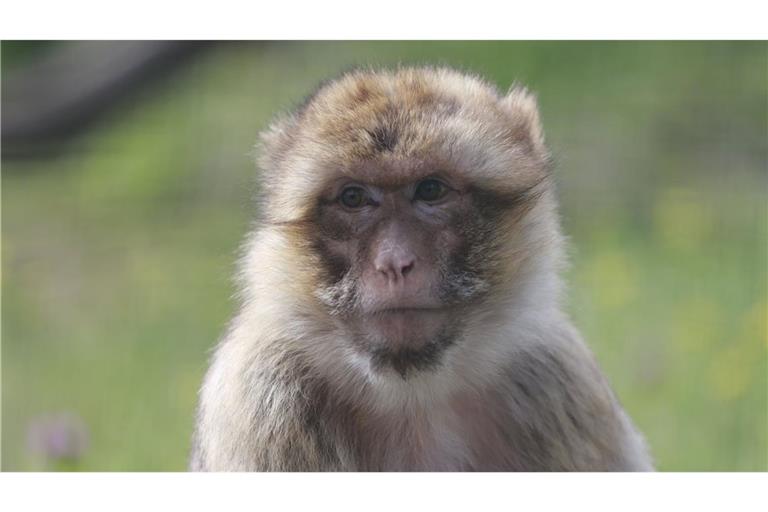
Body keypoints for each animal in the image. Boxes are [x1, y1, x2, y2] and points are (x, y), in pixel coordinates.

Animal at [190, 68, 656, 472]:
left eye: (430, 190)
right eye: (353, 198)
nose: (395, 262)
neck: (413, 395)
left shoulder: (561, 382)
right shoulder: (262, 399)